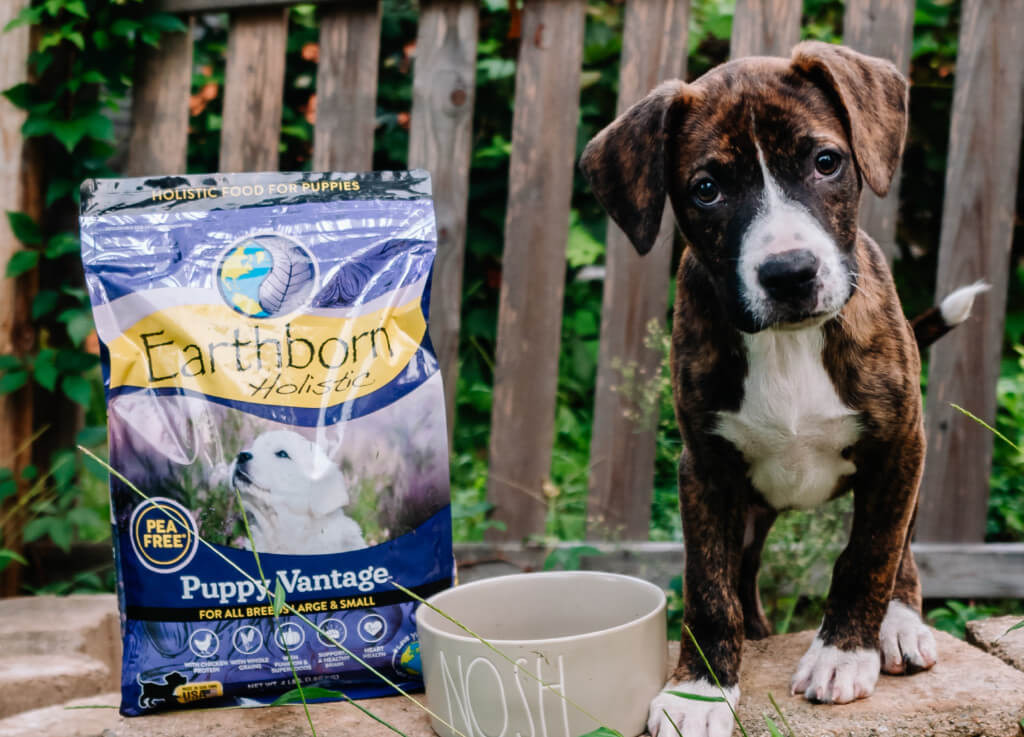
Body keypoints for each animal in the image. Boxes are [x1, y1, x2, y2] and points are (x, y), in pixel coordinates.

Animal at [581, 41, 987, 737]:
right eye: (707, 189)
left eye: (826, 162)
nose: (790, 272)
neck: (788, 341)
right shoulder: (705, 470)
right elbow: (709, 587)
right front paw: (700, 691)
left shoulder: (897, 446)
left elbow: (870, 554)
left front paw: (842, 656)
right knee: (743, 579)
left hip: (908, 461)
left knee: (902, 550)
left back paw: (900, 625)